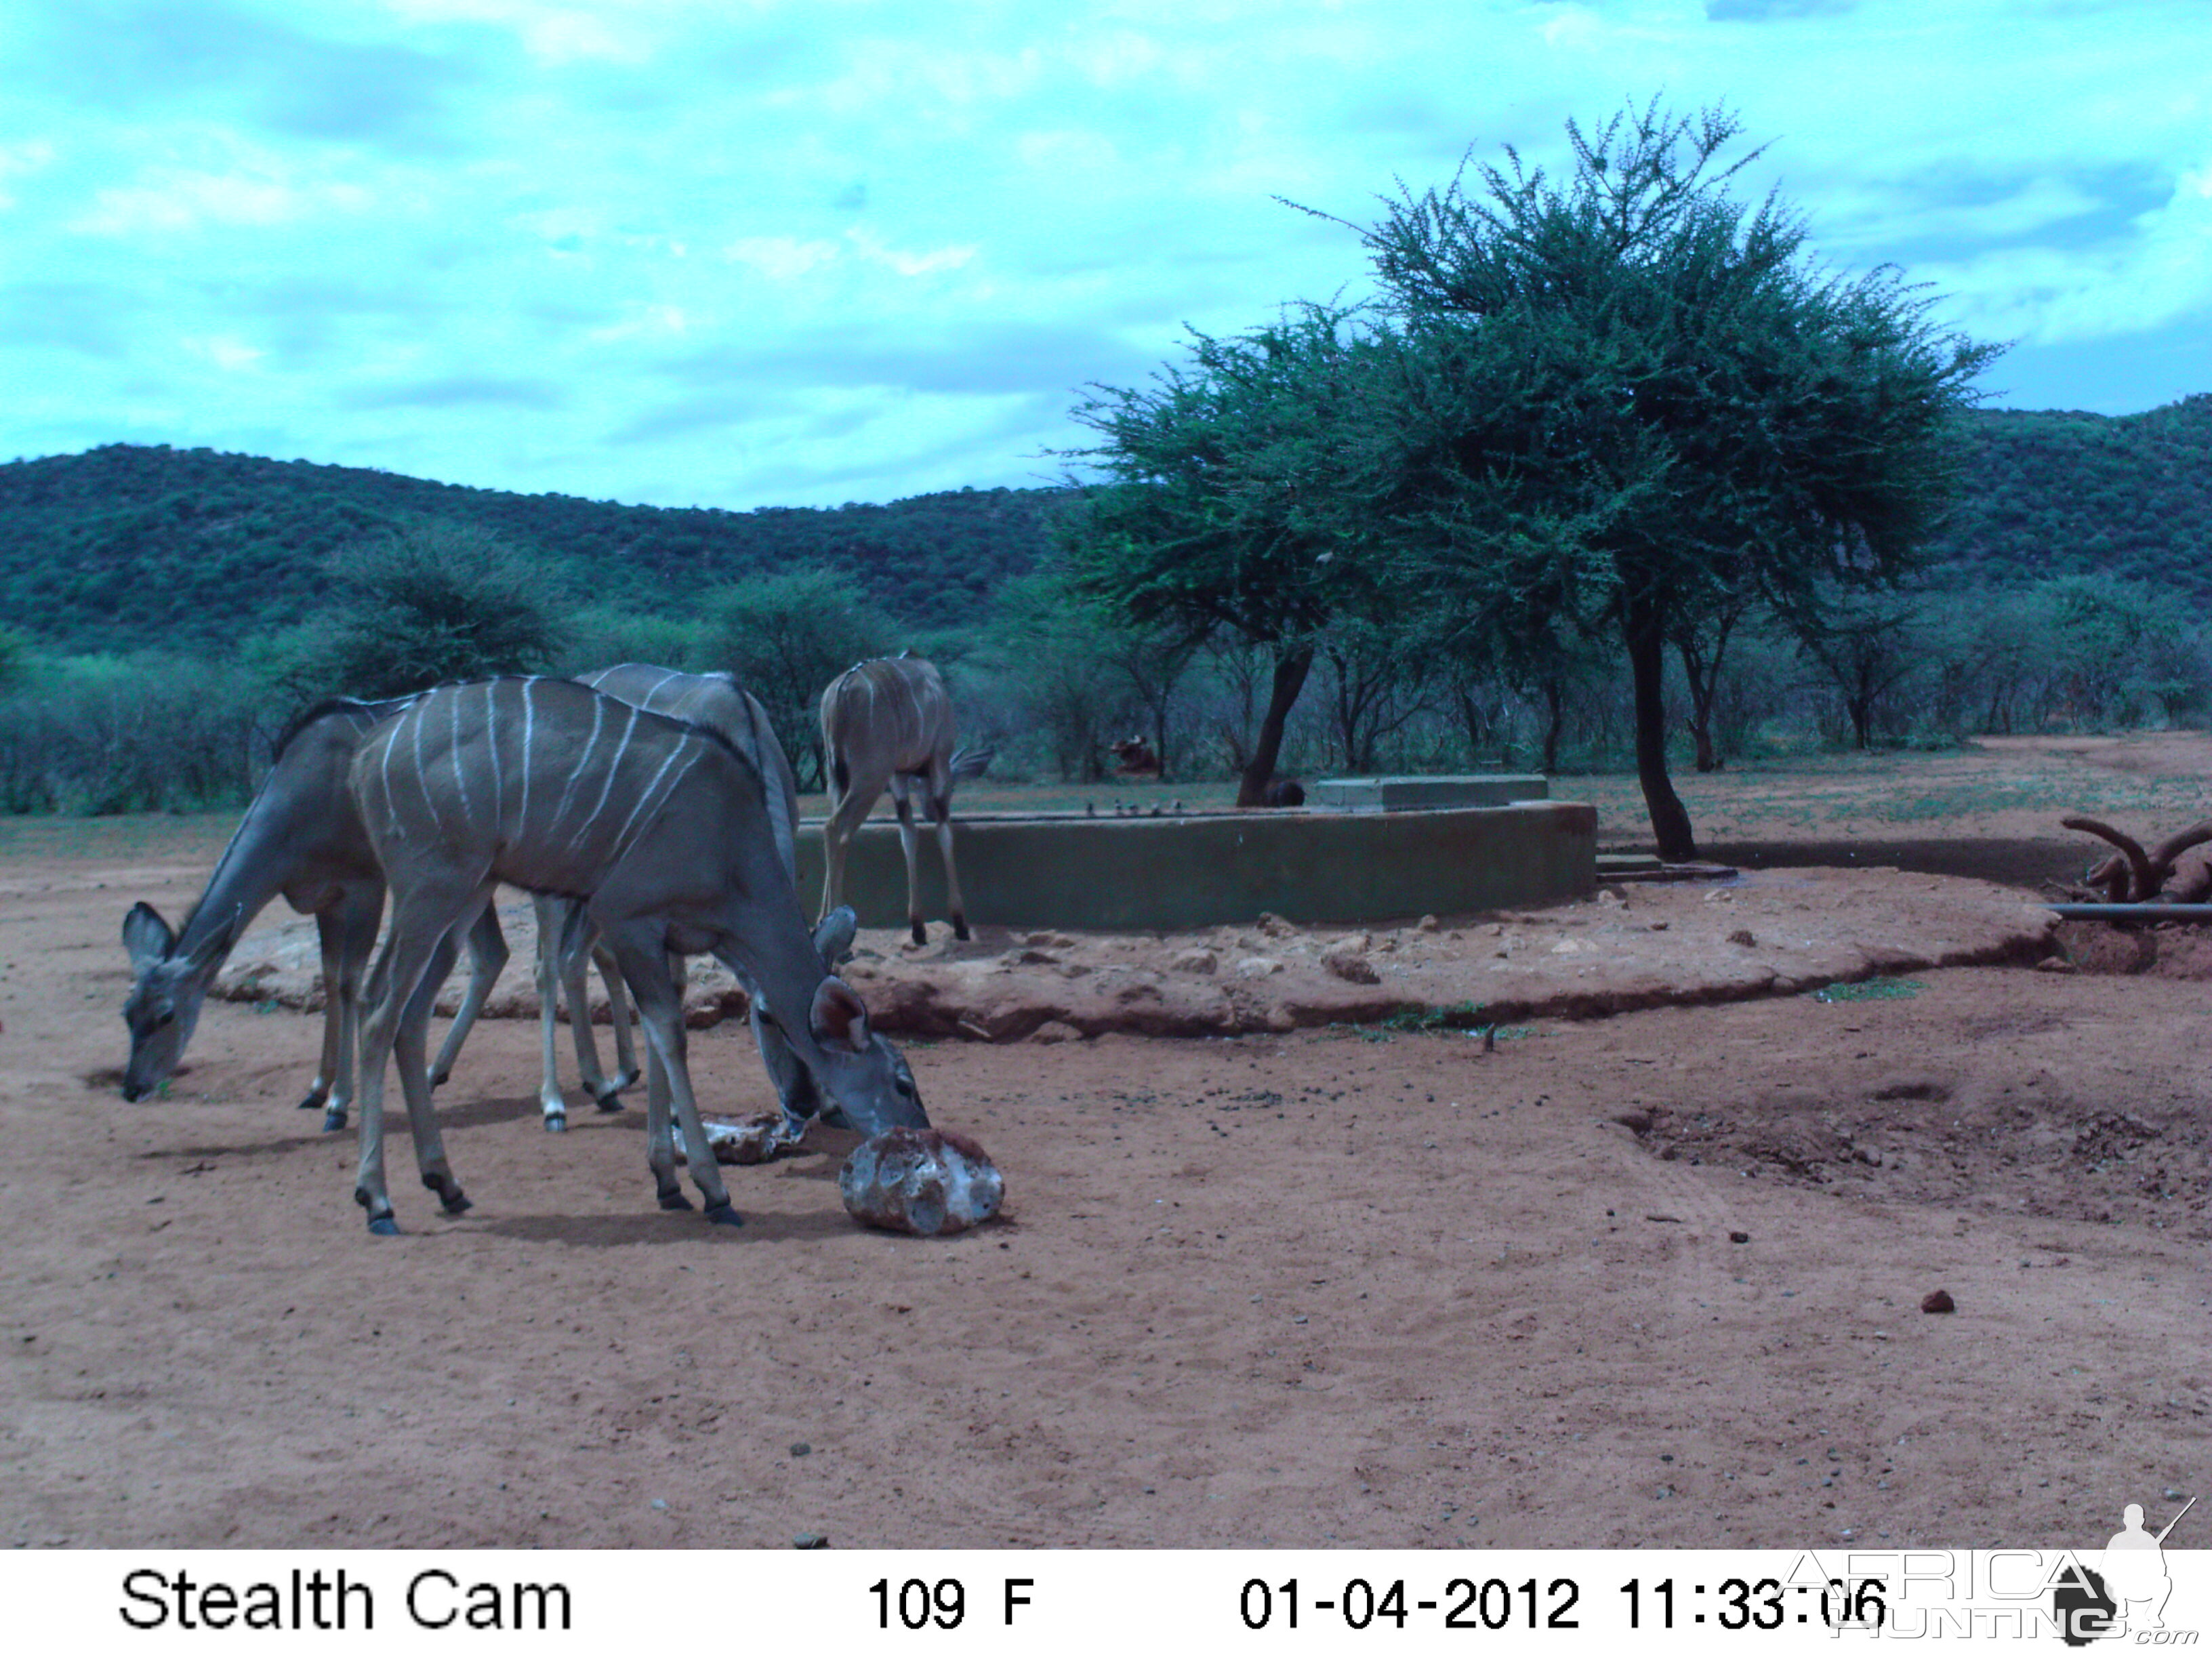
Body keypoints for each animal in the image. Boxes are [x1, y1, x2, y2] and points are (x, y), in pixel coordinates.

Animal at [121, 694, 517, 1141]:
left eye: (166, 1014)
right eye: (128, 1013)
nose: (132, 1088)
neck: (301, 801)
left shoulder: (365, 887)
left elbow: (350, 983)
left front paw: (339, 1104)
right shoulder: (326, 902)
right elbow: (329, 980)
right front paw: (316, 1089)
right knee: (492, 954)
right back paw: (437, 1072)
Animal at [351, 676, 924, 1238]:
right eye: (903, 1082)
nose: (920, 1133)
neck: (729, 839)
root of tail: (371, 753)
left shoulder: (664, 938)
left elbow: (659, 1033)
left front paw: (667, 1180)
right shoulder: (627, 916)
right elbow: (670, 1034)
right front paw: (713, 1191)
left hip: (467, 893)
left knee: (411, 1015)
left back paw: (444, 1182)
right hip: (434, 891)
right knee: (379, 1009)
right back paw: (379, 1199)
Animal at [823, 659, 995, 946]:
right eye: (955, 786)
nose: (928, 812)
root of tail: (842, 691)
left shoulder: (899, 776)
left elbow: (908, 835)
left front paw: (918, 927)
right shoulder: (938, 760)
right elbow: (944, 832)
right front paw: (960, 923)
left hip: (836, 778)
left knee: (831, 831)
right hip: (870, 777)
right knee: (835, 828)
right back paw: (837, 933)